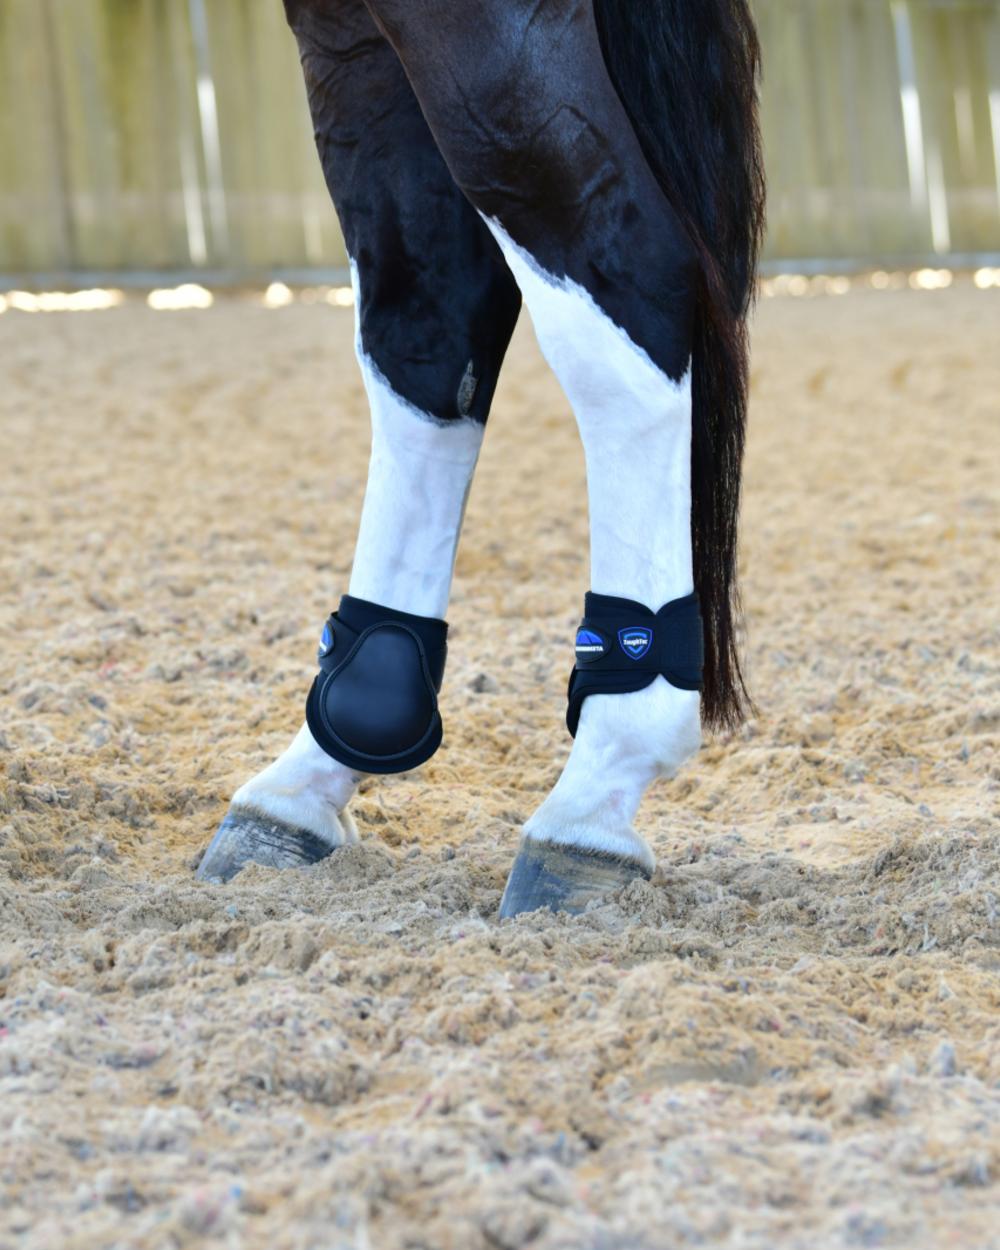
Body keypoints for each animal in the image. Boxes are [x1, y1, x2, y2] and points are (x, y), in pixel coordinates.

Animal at [195, 0, 765, 917]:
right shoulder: (344, 36)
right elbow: (428, 325)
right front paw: (312, 776)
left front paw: (597, 797)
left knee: (624, 273)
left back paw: (593, 791)